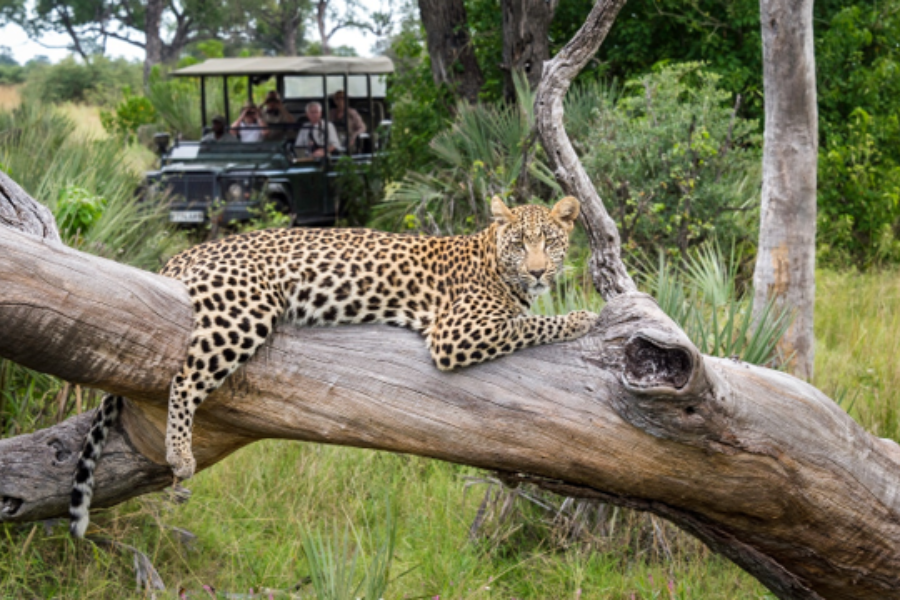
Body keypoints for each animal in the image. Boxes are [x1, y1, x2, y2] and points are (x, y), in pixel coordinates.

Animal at [68, 195, 596, 536]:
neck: (494, 260)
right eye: (519, 243)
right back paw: (180, 456)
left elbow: (528, 318)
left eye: (551, 242)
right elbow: (530, 323)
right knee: (184, 377)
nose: (537, 271)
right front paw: (583, 317)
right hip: (245, 309)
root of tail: (188, 250)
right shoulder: (457, 333)